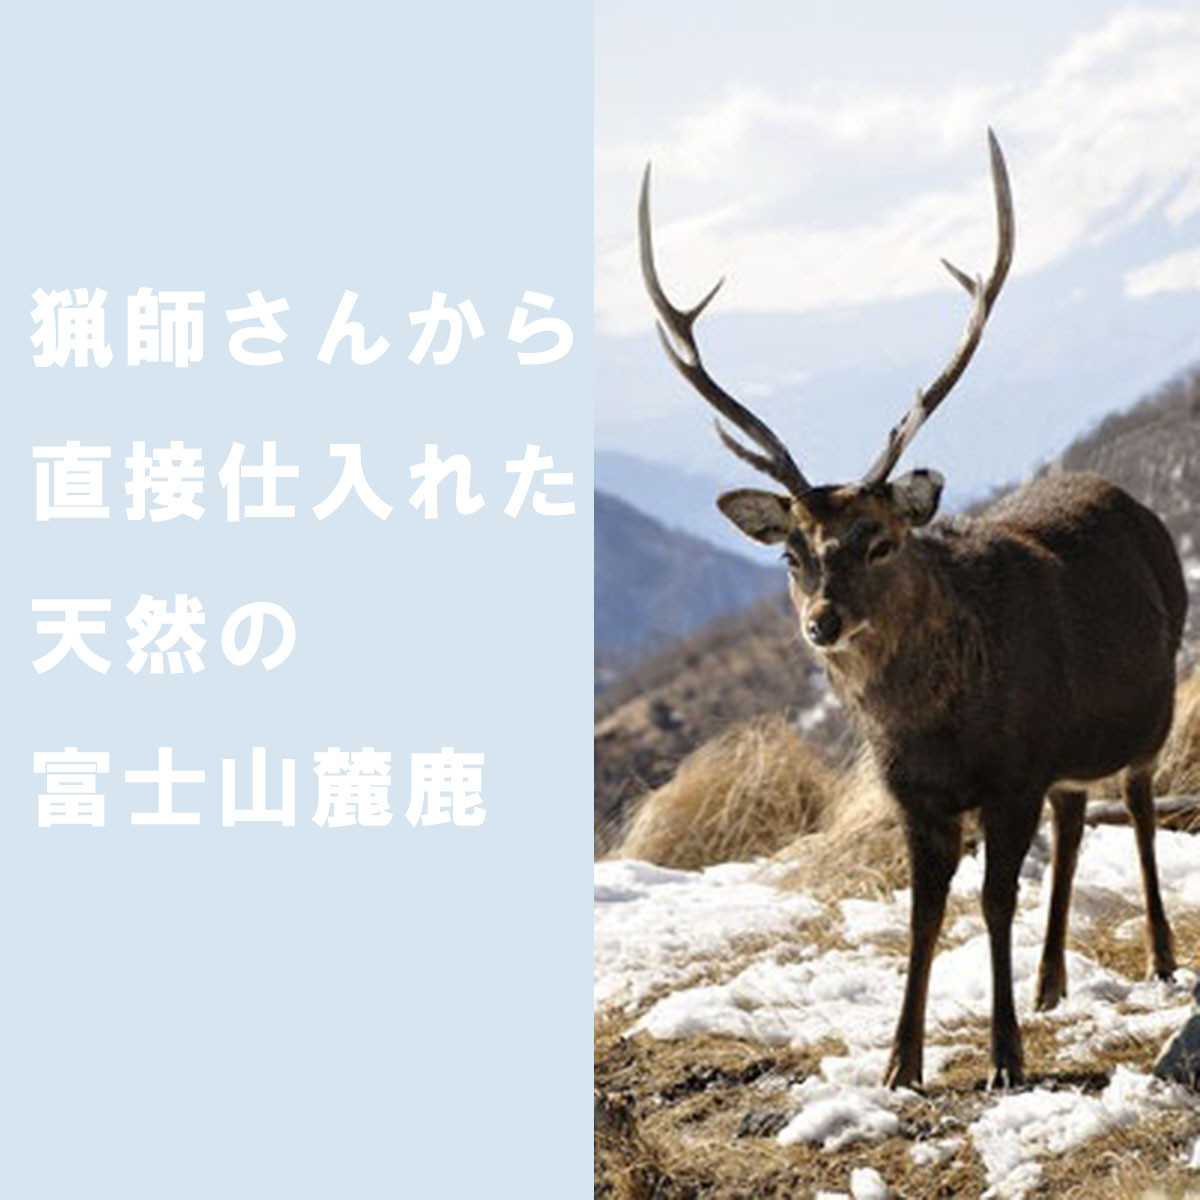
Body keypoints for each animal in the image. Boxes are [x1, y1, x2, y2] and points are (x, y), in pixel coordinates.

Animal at [637, 131, 1187, 1090]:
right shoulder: (916, 795)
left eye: (882, 540)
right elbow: (925, 913)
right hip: (1066, 754)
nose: (821, 621)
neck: (938, 728)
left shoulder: (1011, 772)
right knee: (1075, 822)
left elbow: (994, 902)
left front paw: (1004, 1057)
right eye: (791, 552)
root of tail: (1130, 500)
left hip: (1149, 714)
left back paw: (1158, 959)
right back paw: (1050, 982)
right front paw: (901, 1062)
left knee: (1142, 811)